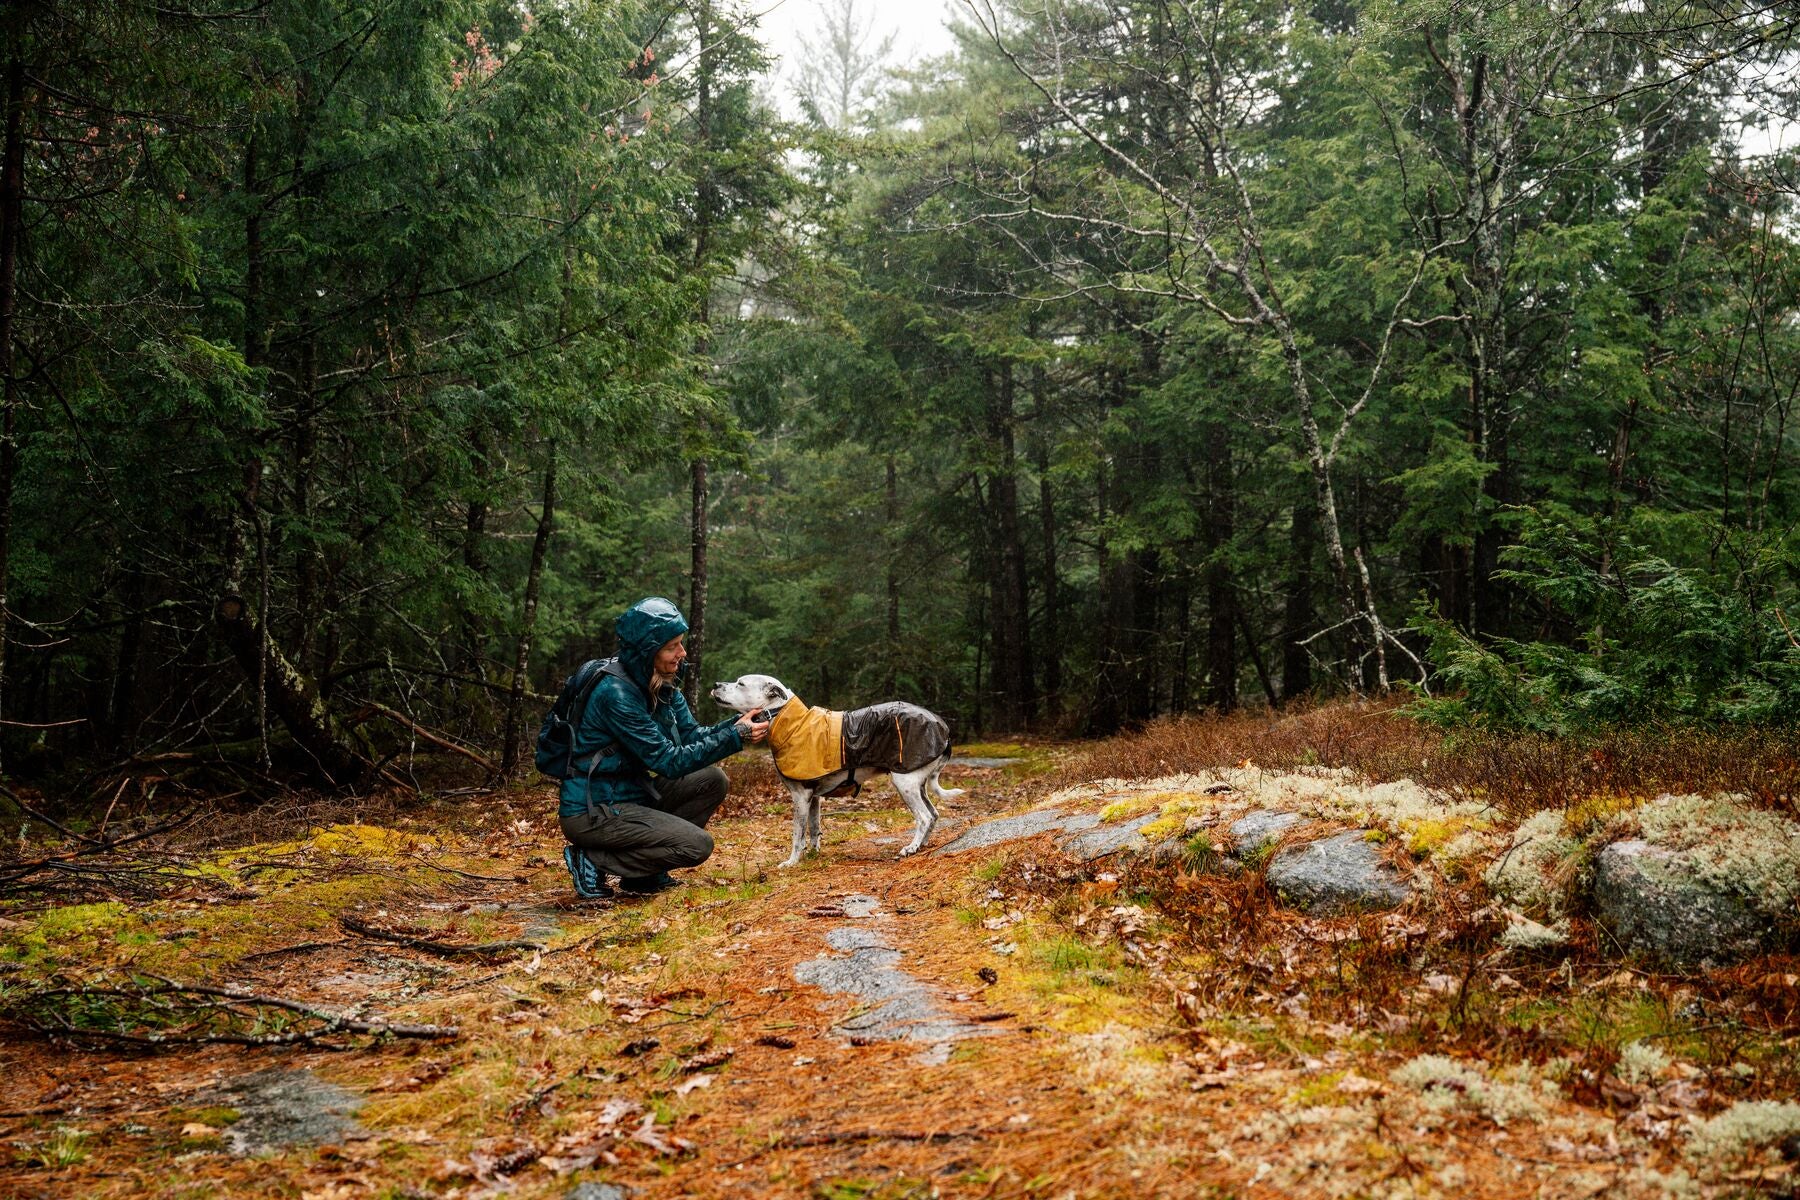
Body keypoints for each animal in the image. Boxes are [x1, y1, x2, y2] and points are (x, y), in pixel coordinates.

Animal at [709, 676, 964, 863]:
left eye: (741, 683)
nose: (715, 685)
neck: (790, 722)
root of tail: (943, 730)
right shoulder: (813, 798)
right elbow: (813, 829)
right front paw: (813, 854)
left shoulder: (800, 797)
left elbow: (797, 835)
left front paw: (792, 862)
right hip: (918, 784)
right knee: (933, 814)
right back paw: (923, 844)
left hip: (905, 783)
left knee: (923, 817)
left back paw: (911, 847)